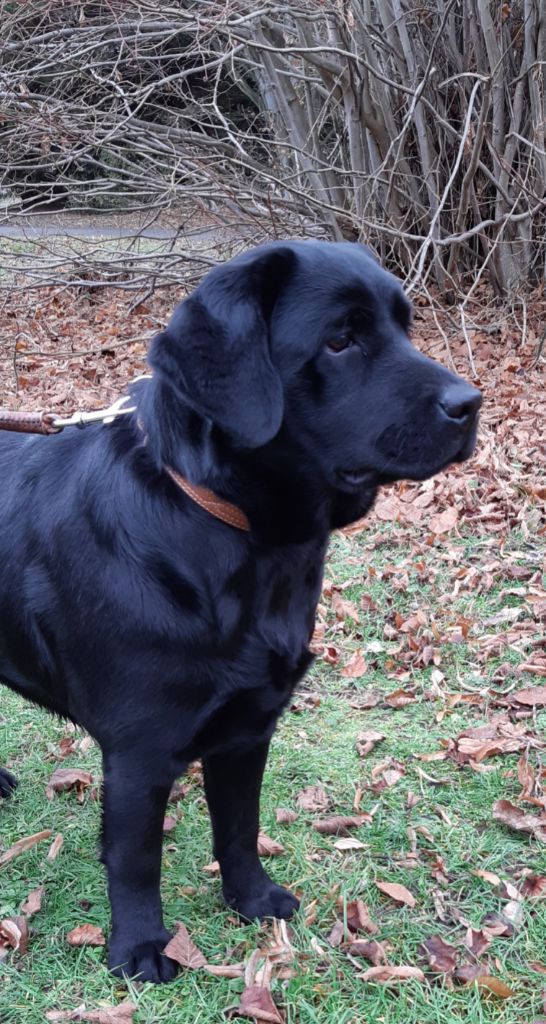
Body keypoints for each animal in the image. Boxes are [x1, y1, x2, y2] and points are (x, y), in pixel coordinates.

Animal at [0, 241, 477, 983]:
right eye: (339, 339)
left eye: (406, 327)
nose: (470, 403)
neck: (244, 541)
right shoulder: (138, 751)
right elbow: (135, 859)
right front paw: (140, 946)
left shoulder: (250, 726)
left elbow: (240, 827)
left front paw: (251, 899)